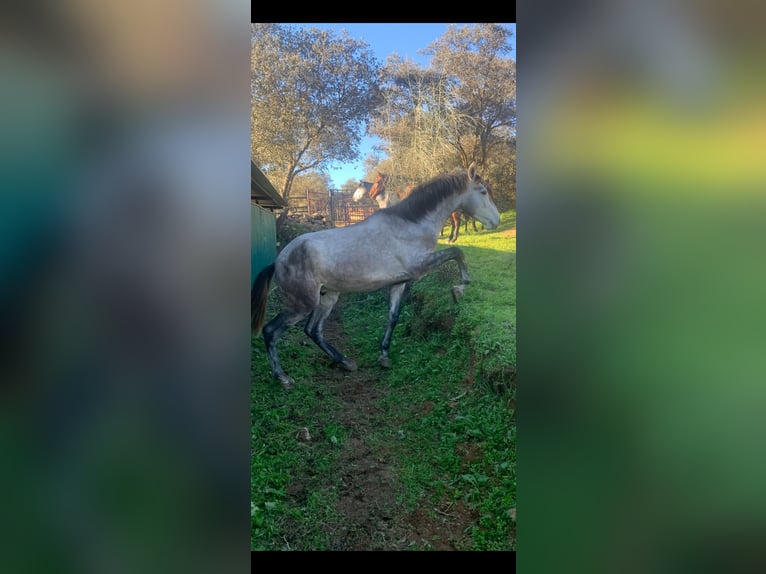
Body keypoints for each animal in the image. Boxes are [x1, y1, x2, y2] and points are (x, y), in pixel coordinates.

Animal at [255, 164, 500, 390]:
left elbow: (393, 317)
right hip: (302, 305)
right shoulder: (420, 267)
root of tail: (279, 259)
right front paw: (460, 287)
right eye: (483, 191)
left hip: (328, 297)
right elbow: (457, 252)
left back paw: (345, 362)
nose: (496, 221)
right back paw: (283, 377)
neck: (410, 224)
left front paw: (384, 356)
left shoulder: (399, 283)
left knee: (313, 330)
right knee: (270, 331)